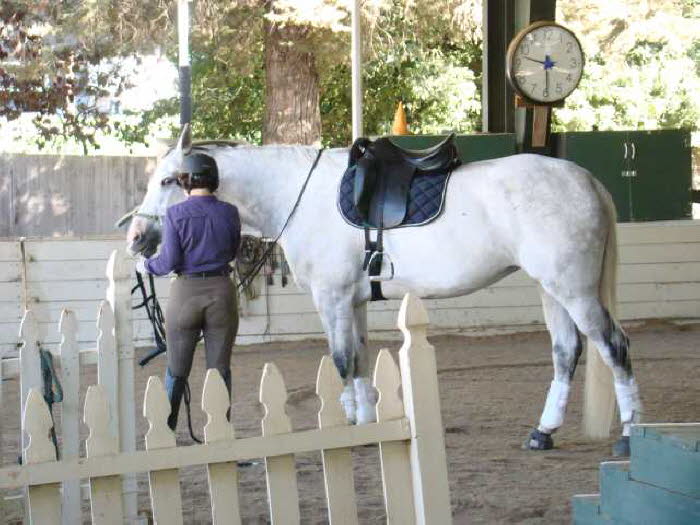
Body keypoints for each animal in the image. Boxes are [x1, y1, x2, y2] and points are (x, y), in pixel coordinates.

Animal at [126, 128, 640, 454]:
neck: (298, 195)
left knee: (613, 346)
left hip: (574, 290)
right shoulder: (351, 302)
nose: (137, 238)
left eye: (169, 180)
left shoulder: (331, 298)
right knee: (566, 351)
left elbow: (340, 360)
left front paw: (355, 426)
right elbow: (357, 358)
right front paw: (365, 422)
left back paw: (631, 434)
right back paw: (543, 432)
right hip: (553, 290)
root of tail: (587, 180)